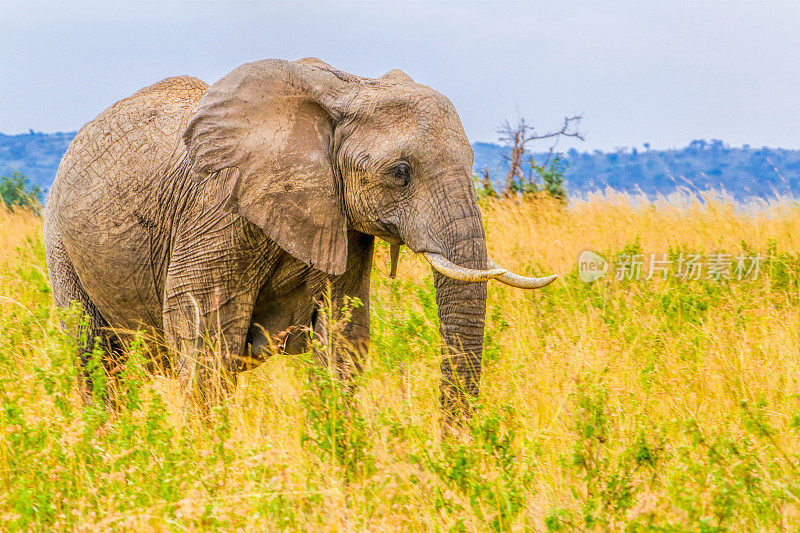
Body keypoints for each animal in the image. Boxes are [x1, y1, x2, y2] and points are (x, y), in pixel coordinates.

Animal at [45, 57, 556, 416]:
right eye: (400, 172)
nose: (453, 447)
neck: (350, 87)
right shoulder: (218, 209)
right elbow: (204, 331)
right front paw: (208, 462)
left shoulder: (343, 223)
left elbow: (344, 334)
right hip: (59, 241)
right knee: (94, 355)